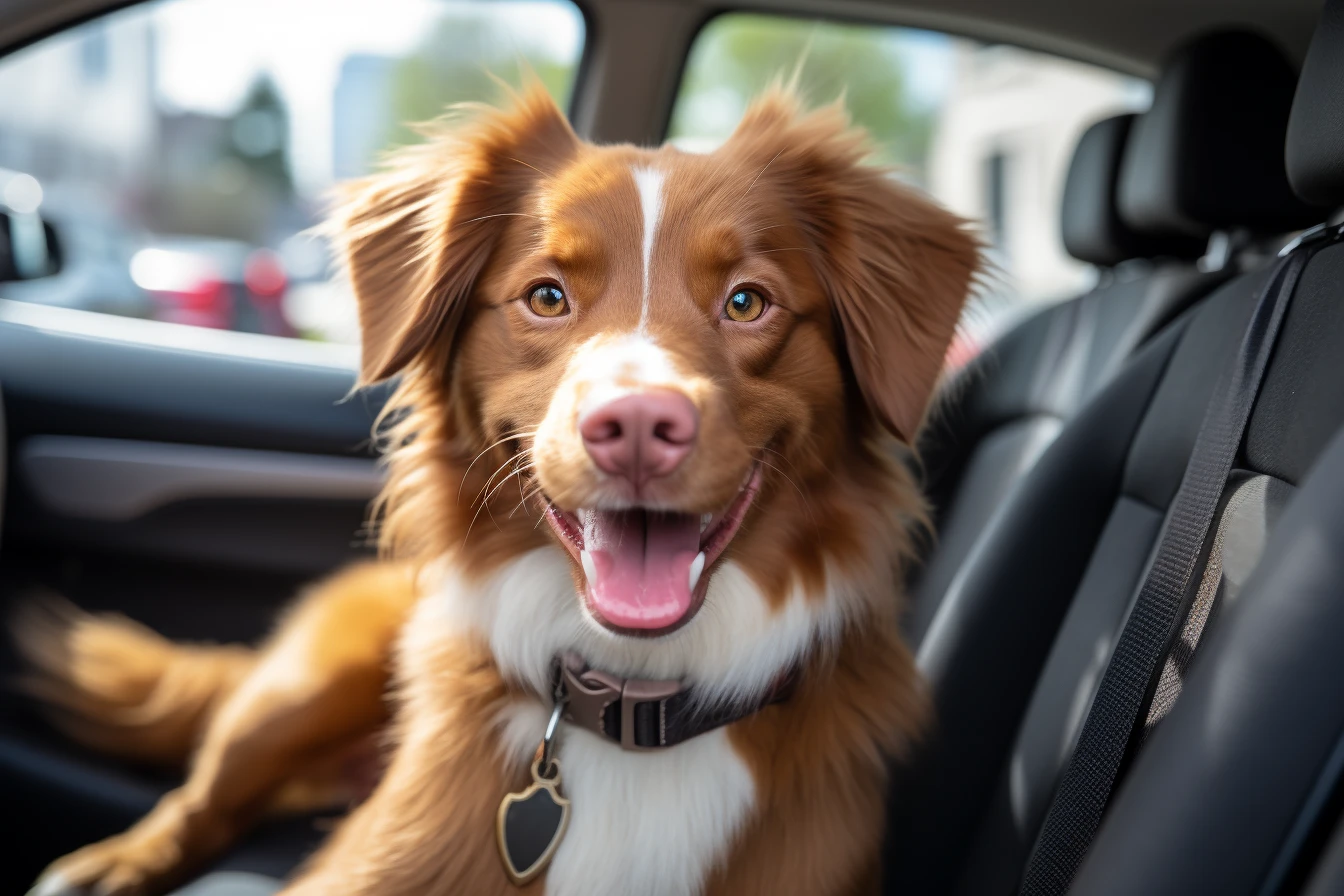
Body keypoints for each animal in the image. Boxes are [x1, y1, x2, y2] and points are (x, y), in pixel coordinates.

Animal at [21, 85, 983, 896]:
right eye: (546, 296)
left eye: (748, 303)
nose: (638, 423)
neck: (635, 711)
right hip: (302, 685)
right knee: (203, 799)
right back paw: (108, 866)